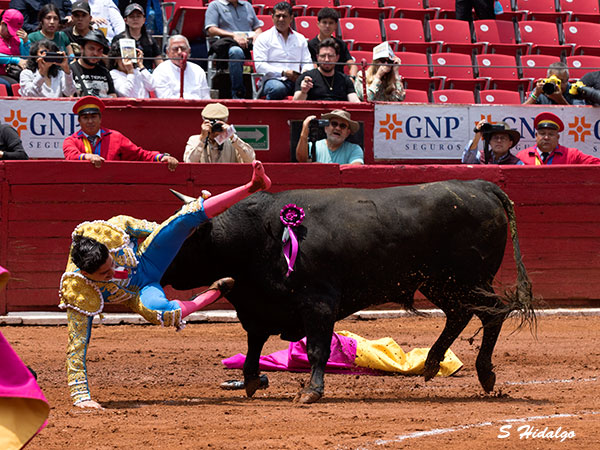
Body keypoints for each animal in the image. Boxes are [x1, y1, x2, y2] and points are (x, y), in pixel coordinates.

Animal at [161, 179, 536, 404]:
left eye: (183, 237)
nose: (158, 264)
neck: (255, 234)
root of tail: (477, 185)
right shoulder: (259, 305)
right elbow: (254, 343)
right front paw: (253, 379)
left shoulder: (319, 304)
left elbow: (317, 349)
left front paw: (310, 392)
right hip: (440, 283)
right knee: (461, 314)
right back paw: (432, 364)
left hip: (467, 280)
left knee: (493, 313)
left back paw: (485, 373)